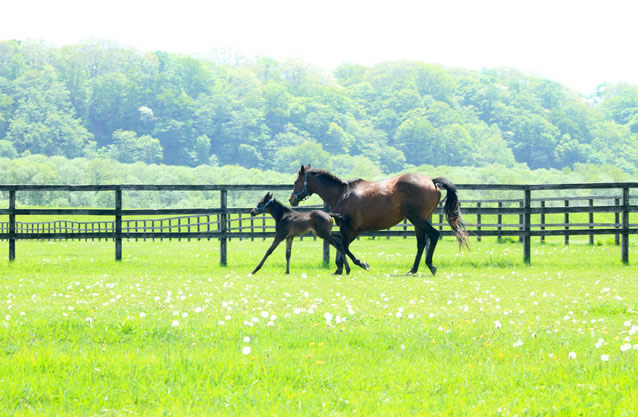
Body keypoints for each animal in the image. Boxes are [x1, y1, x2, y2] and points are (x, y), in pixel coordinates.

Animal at [292, 164, 470, 274]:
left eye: (295, 182)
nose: (291, 199)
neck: (342, 194)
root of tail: (432, 181)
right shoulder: (351, 231)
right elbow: (340, 245)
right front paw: (339, 269)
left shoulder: (350, 229)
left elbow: (344, 247)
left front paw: (360, 264)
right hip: (418, 222)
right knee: (421, 244)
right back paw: (412, 270)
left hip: (418, 219)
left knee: (433, 235)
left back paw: (430, 266)